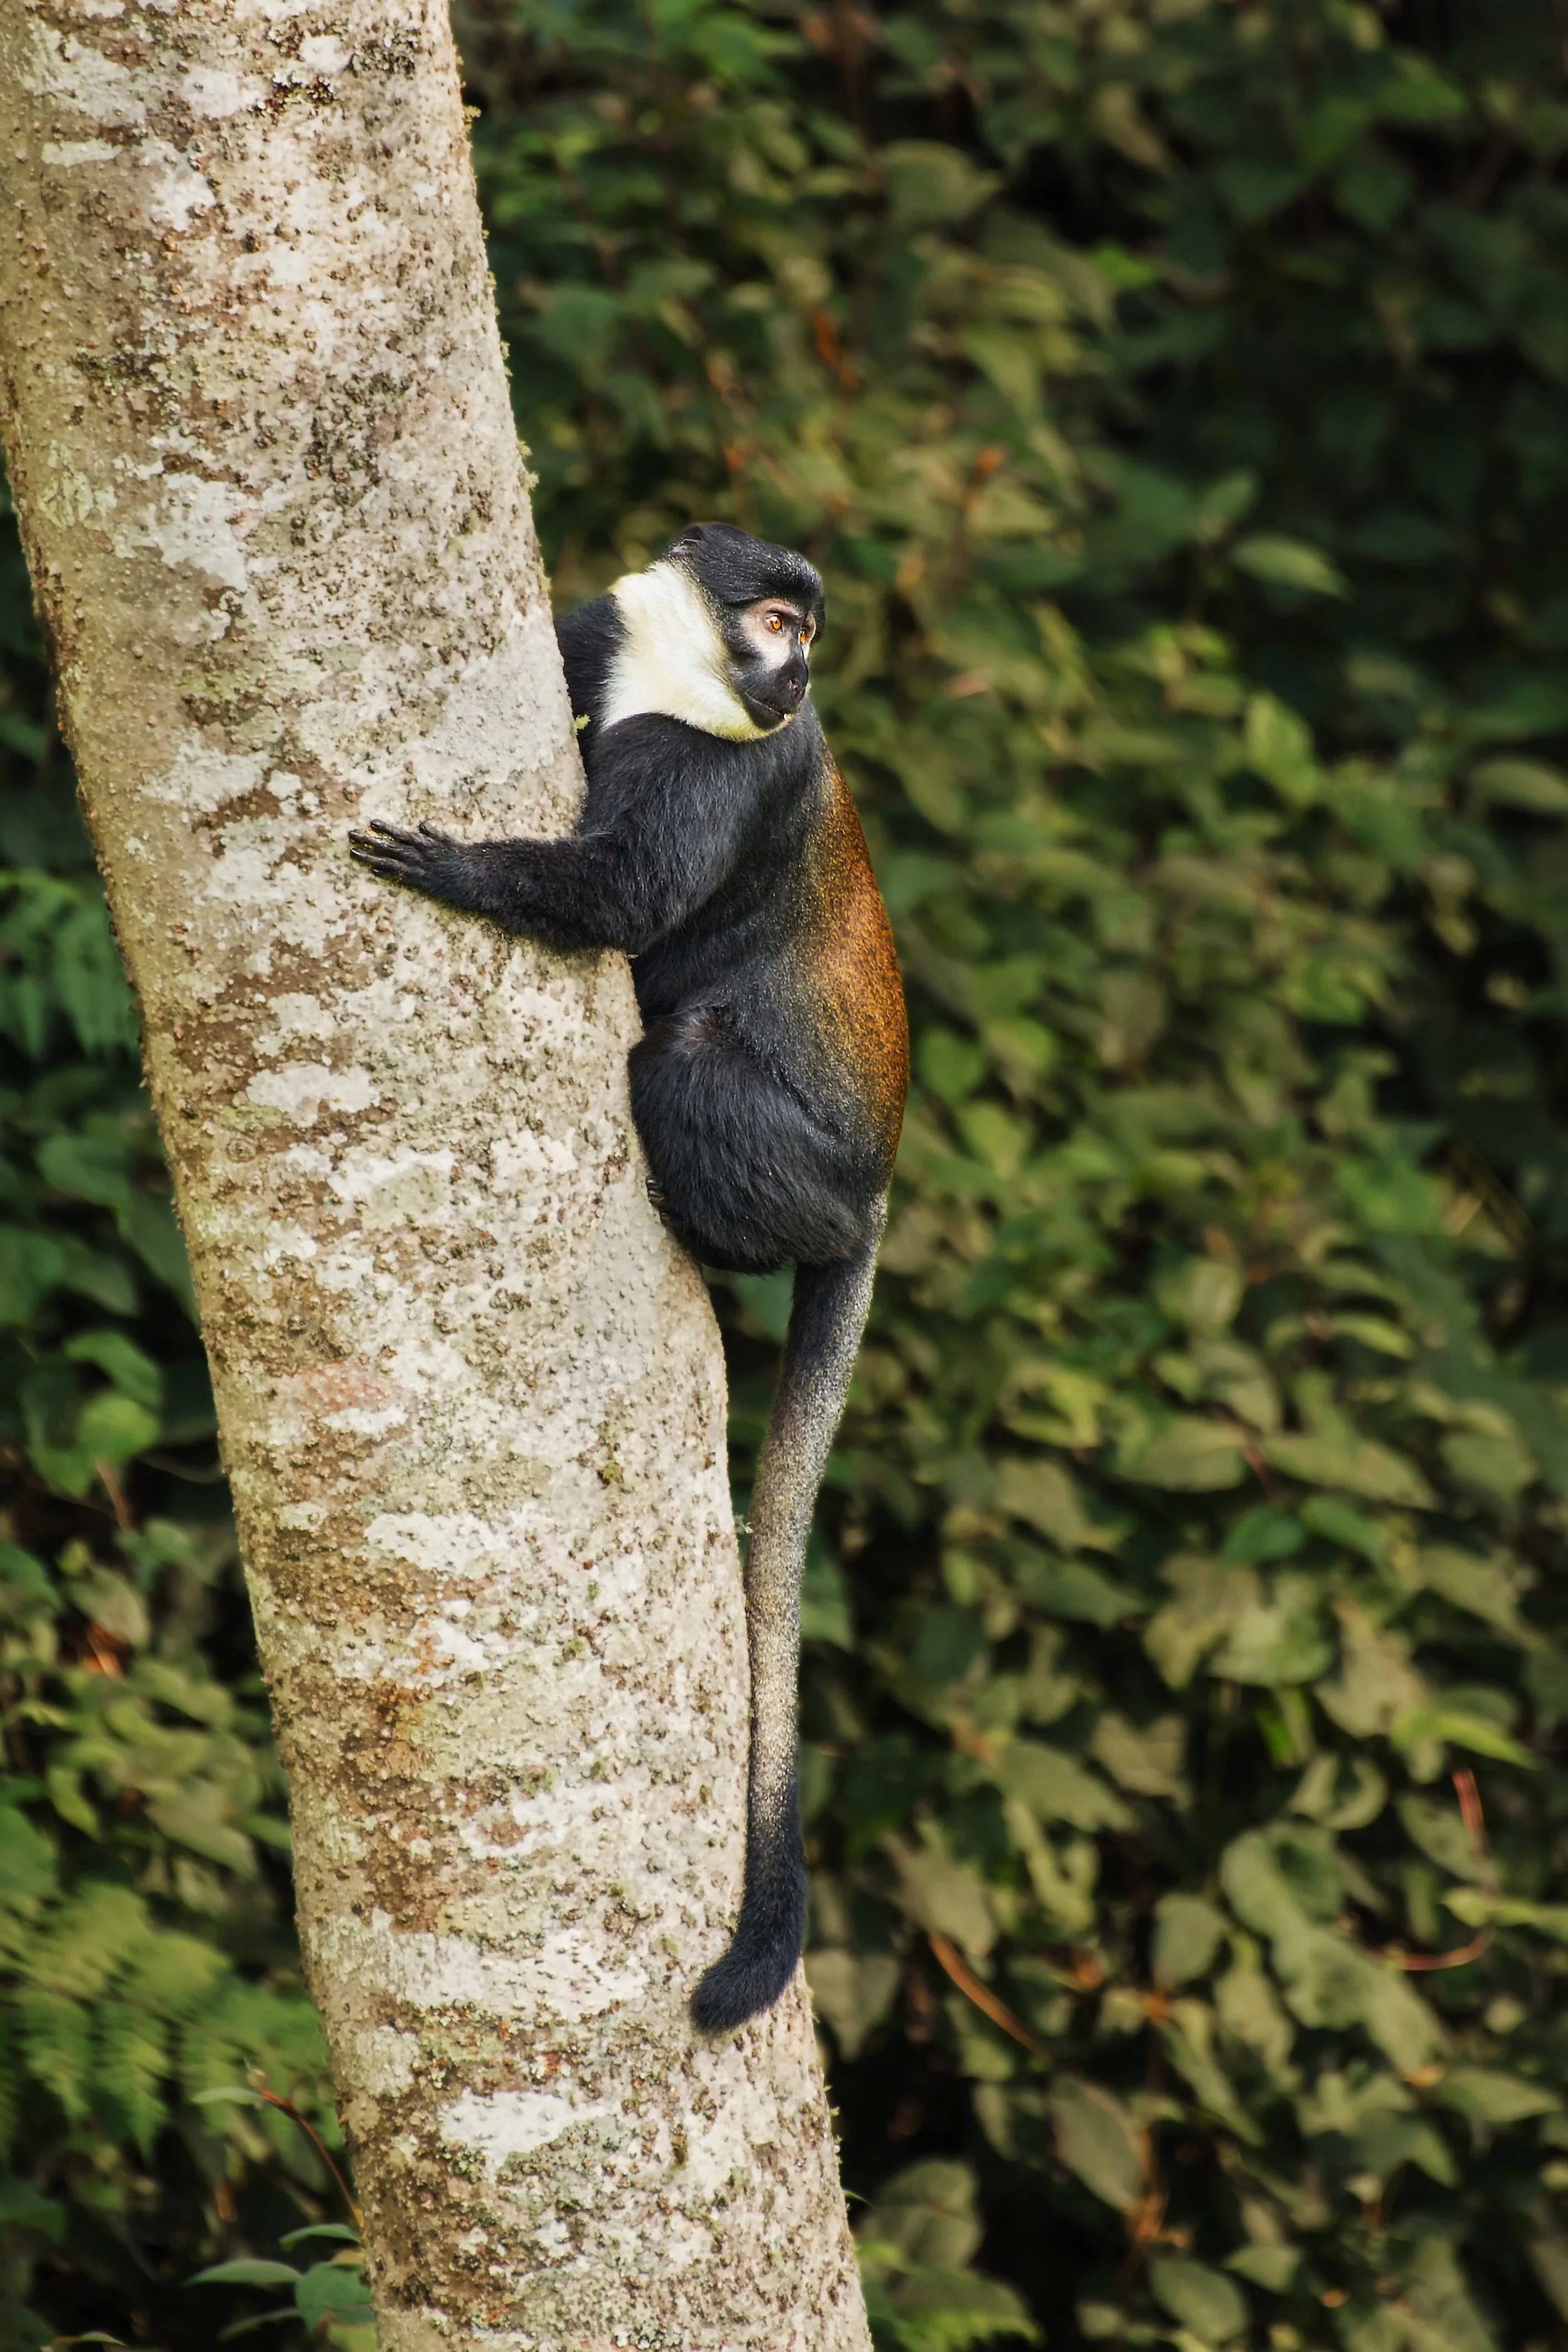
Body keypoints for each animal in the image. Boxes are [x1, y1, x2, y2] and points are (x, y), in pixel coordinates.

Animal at [349, 522, 908, 2033]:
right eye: (775, 619)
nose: (794, 672)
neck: (679, 677)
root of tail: (873, 1196)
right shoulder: (598, 636)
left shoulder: (721, 766)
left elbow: (624, 896)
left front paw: (460, 873)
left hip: (795, 1173)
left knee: (685, 1059)